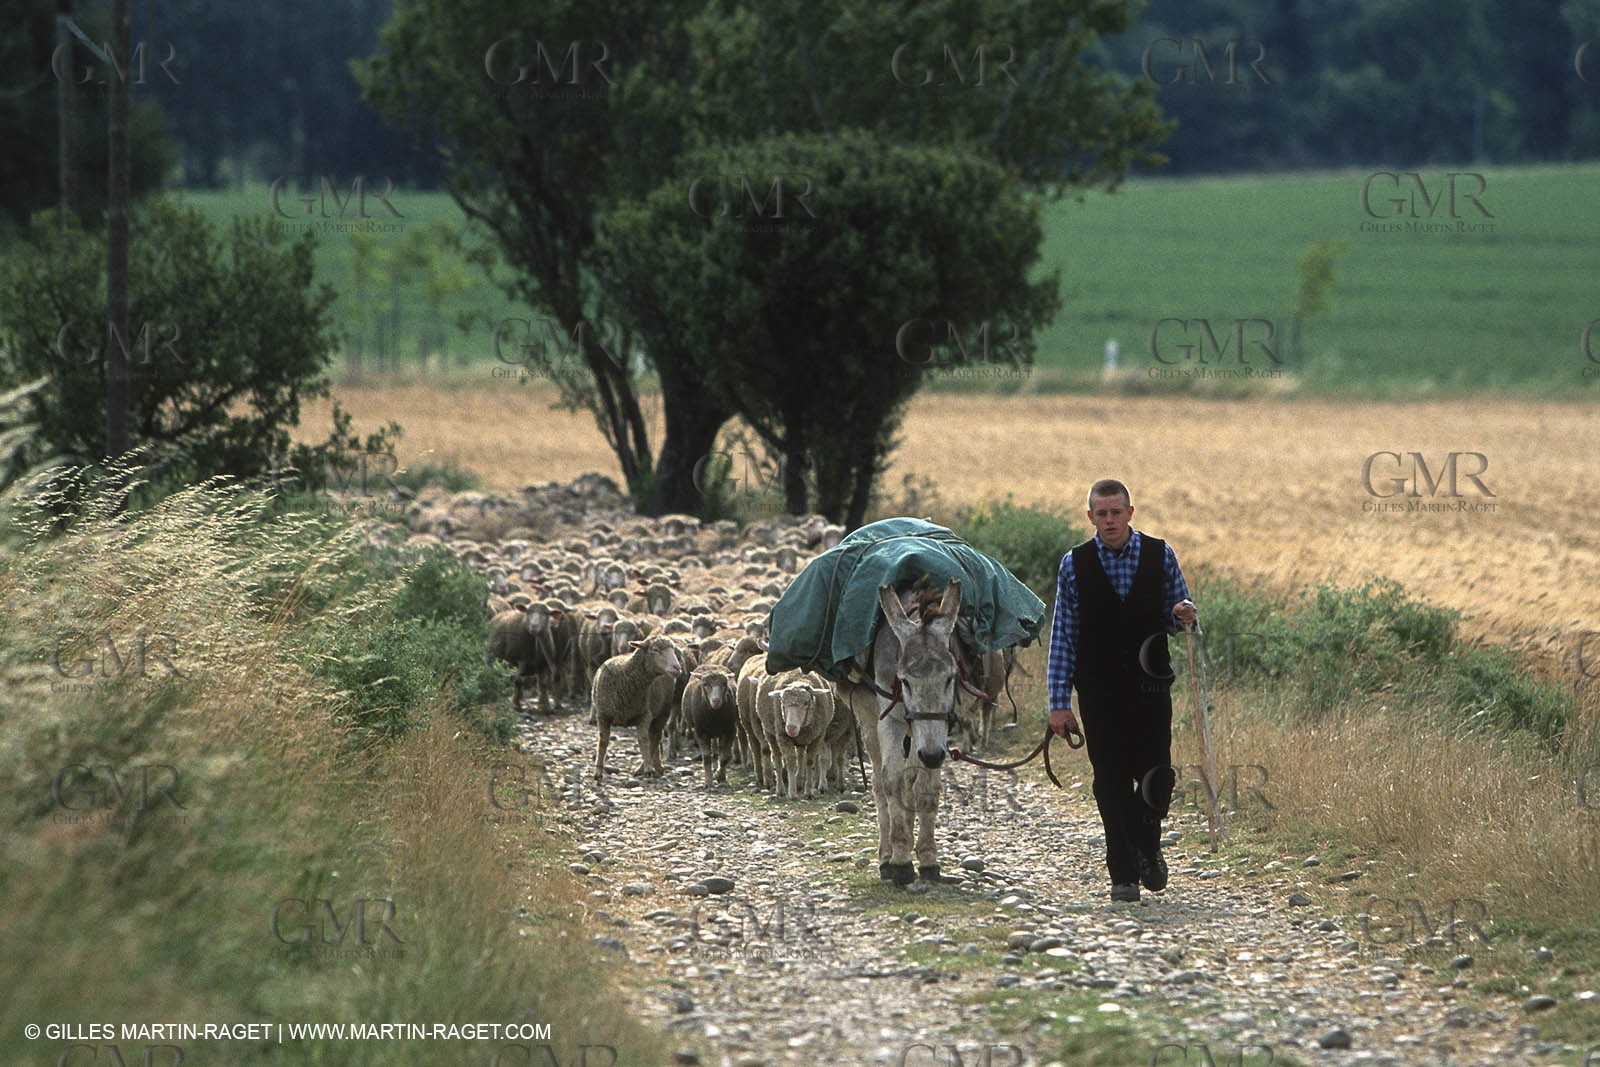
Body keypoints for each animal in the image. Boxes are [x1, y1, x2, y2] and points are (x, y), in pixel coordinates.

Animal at [591, 635, 685, 782]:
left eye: (673, 650)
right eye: (655, 649)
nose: (677, 668)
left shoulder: (645, 715)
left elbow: (643, 740)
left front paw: (647, 770)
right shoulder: (602, 716)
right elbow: (603, 741)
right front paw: (598, 772)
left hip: (662, 711)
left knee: (655, 738)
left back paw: (648, 767)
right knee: (655, 738)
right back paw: (655, 766)